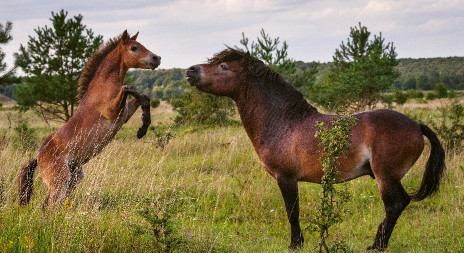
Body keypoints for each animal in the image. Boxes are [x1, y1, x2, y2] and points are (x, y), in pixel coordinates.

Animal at [18, 31, 161, 210]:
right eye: (134, 47)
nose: (157, 58)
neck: (104, 85)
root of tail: (38, 157)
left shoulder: (124, 113)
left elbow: (144, 97)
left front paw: (143, 129)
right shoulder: (113, 112)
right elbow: (129, 88)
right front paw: (142, 127)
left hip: (73, 179)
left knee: (52, 205)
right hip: (60, 181)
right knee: (49, 206)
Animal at [186, 48, 446, 251]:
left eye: (223, 66)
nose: (190, 71)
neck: (284, 122)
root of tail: (416, 125)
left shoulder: (286, 178)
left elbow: (292, 212)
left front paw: (295, 244)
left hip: (386, 176)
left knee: (394, 206)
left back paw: (377, 246)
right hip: (390, 177)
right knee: (401, 203)